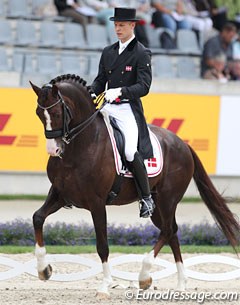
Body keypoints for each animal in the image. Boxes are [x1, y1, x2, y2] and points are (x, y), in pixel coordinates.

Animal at [30, 75, 238, 296]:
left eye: (57, 113)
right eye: (38, 114)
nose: (54, 150)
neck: (82, 145)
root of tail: (183, 144)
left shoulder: (97, 203)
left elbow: (102, 245)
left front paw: (105, 285)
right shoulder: (61, 194)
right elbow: (38, 218)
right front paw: (44, 269)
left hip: (168, 199)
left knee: (167, 230)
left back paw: (144, 276)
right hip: (157, 205)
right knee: (172, 231)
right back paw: (180, 284)